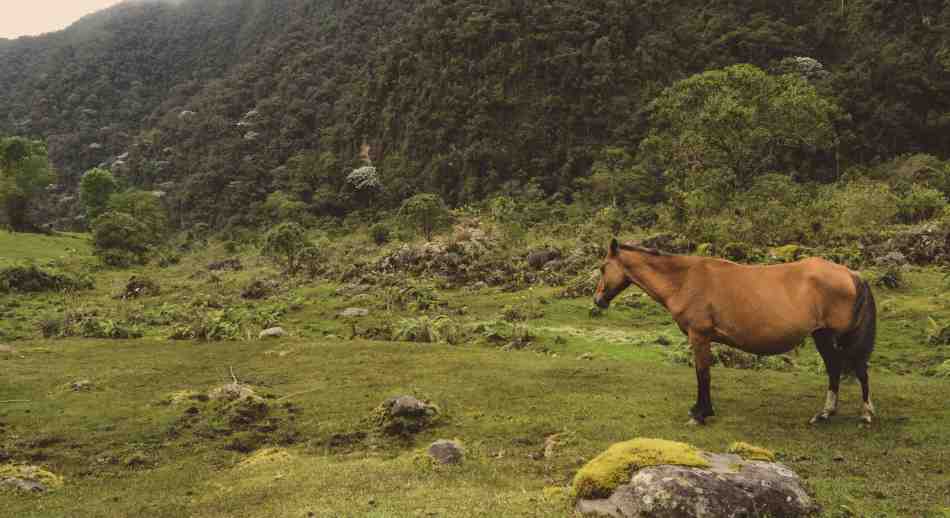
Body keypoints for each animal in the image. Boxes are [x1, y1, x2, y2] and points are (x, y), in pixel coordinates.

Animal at [596, 240, 876, 426]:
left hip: (843, 337)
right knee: (834, 368)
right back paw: (825, 413)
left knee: (859, 370)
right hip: (823, 335)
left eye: (602, 268)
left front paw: (701, 413)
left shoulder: (700, 336)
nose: (598, 300)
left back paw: (866, 414)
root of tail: (851, 273)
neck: (685, 280)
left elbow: (703, 374)